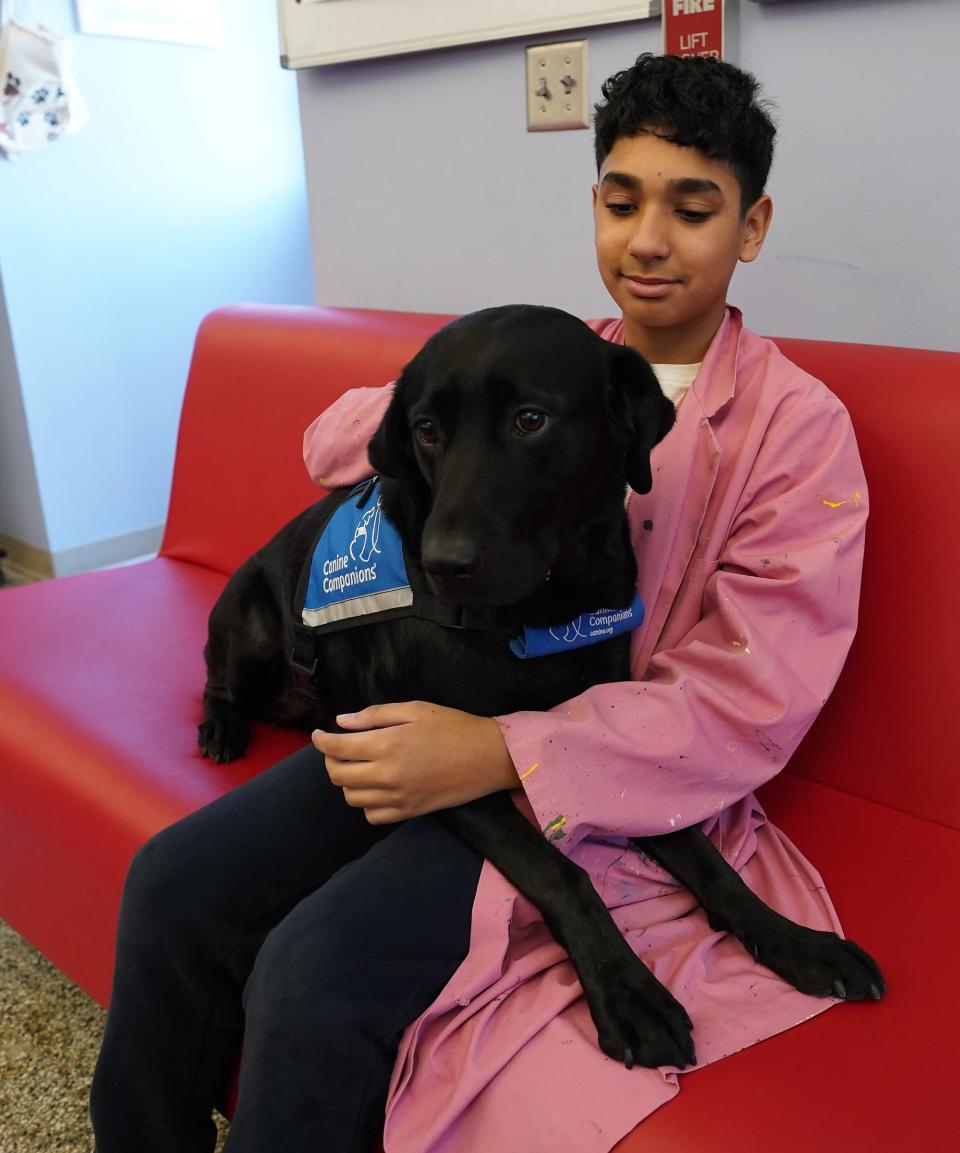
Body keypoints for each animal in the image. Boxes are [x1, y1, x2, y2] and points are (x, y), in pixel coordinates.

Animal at [200, 302, 885, 1065]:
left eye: (531, 419)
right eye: (426, 429)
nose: (442, 564)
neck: (543, 610)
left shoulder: (606, 742)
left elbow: (704, 856)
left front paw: (795, 941)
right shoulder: (433, 765)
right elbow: (561, 870)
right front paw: (626, 989)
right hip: (247, 623)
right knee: (217, 678)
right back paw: (222, 726)